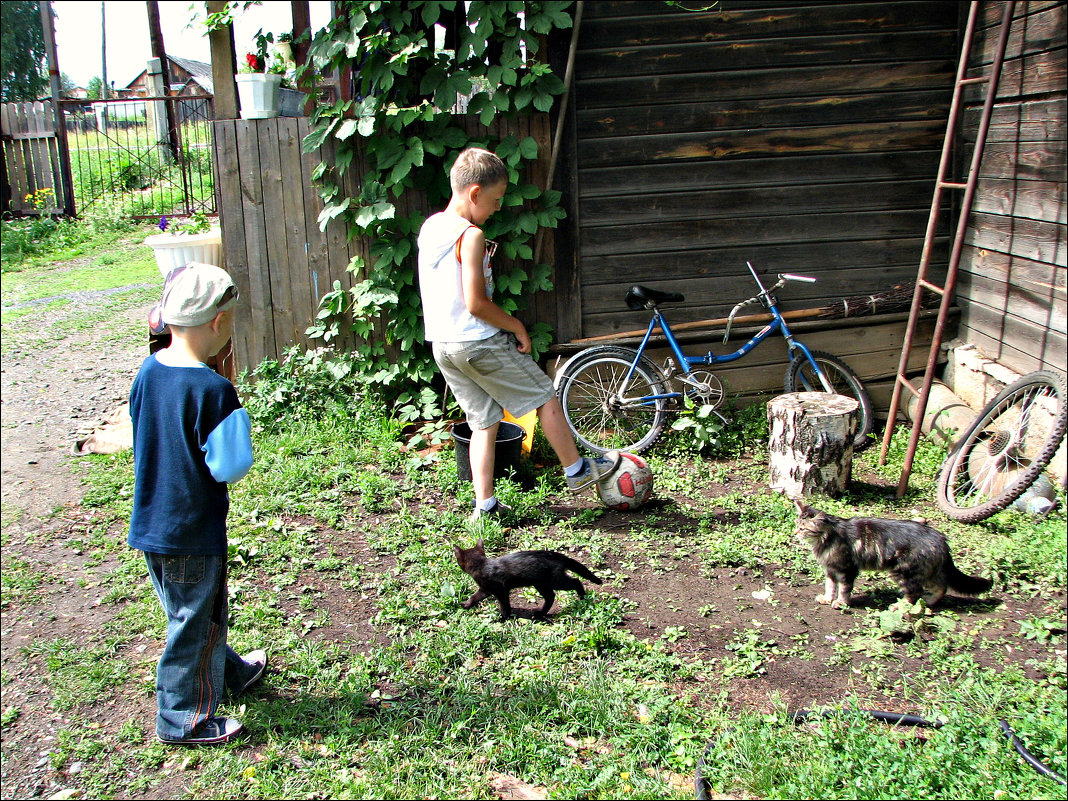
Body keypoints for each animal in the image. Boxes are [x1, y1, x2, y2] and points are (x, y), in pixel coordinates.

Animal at [450, 540, 602, 619]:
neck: (483, 566)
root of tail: (557, 555)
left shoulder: (500, 590)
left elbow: (505, 605)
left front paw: (502, 617)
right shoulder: (485, 589)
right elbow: (474, 597)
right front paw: (465, 604)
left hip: (555, 581)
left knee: (576, 581)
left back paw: (582, 598)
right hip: (541, 584)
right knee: (551, 597)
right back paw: (539, 614)